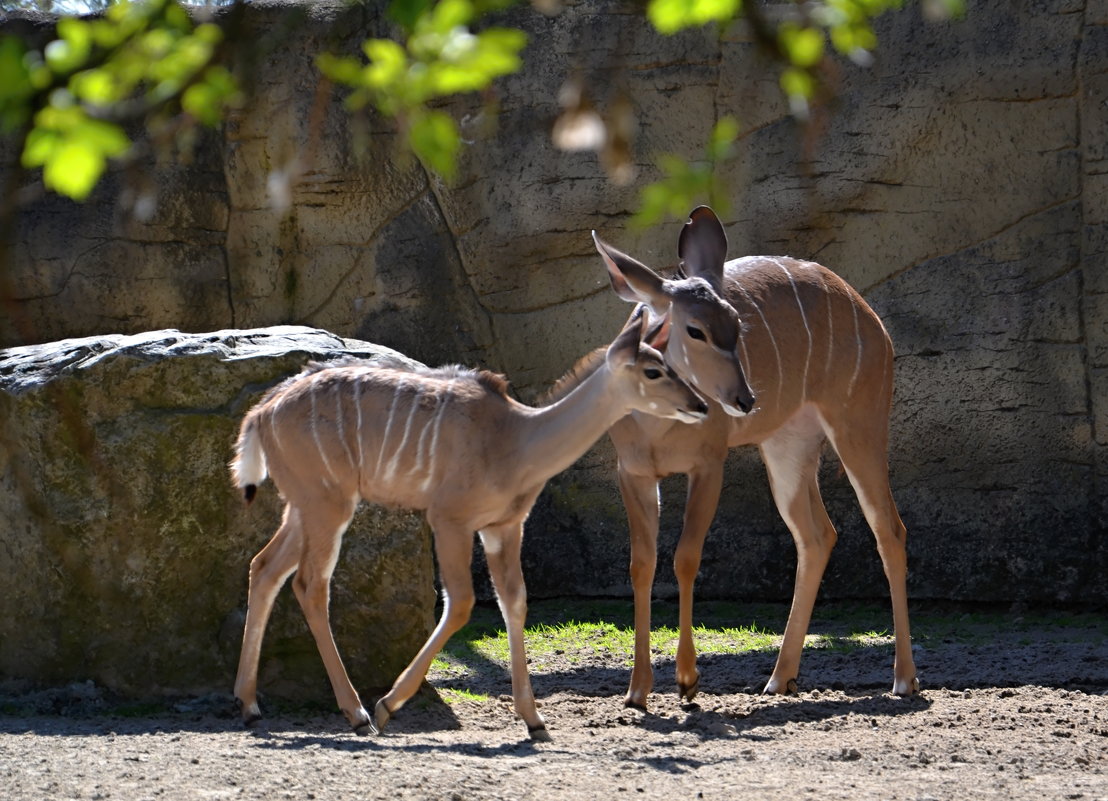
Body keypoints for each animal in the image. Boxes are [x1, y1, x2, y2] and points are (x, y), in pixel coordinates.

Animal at [229, 310, 704, 744]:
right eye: (653, 370)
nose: (700, 405)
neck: (516, 437)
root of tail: (262, 413)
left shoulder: (503, 527)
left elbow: (515, 602)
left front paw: (535, 721)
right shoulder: (450, 520)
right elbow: (461, 603)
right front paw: (387, 706)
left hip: (305, 507)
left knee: (265, 567)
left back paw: (250, 704)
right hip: (328, 505)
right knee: (310, 584)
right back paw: (357, 713)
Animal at [593, 209, 921, 709]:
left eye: (736, 322)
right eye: (695, 328)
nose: (744, 399)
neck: (660, 425)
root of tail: (871, 319)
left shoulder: (709, 464)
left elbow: (686, 558)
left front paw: (688, 680)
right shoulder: (633, 472)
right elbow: (641, 565)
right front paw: (636, 691)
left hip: (859, 425)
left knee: (888, 528)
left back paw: (904, 680)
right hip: (788, 446)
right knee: (818, 534)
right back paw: (780, 678)